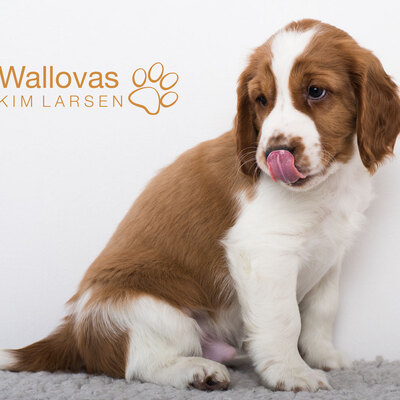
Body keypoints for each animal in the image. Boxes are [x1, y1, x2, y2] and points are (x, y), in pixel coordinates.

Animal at [1, 19, 399, 392]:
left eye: (316, 91)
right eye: (261, 100)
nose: (274, 152)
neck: (330, 183)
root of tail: (74, 331)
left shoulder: (331, 253)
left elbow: (322, 310)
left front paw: (323, 357)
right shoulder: (264, 252)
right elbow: (285, 319)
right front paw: (292, 373)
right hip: (149, 311)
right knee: (139, 362)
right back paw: (198, 371)